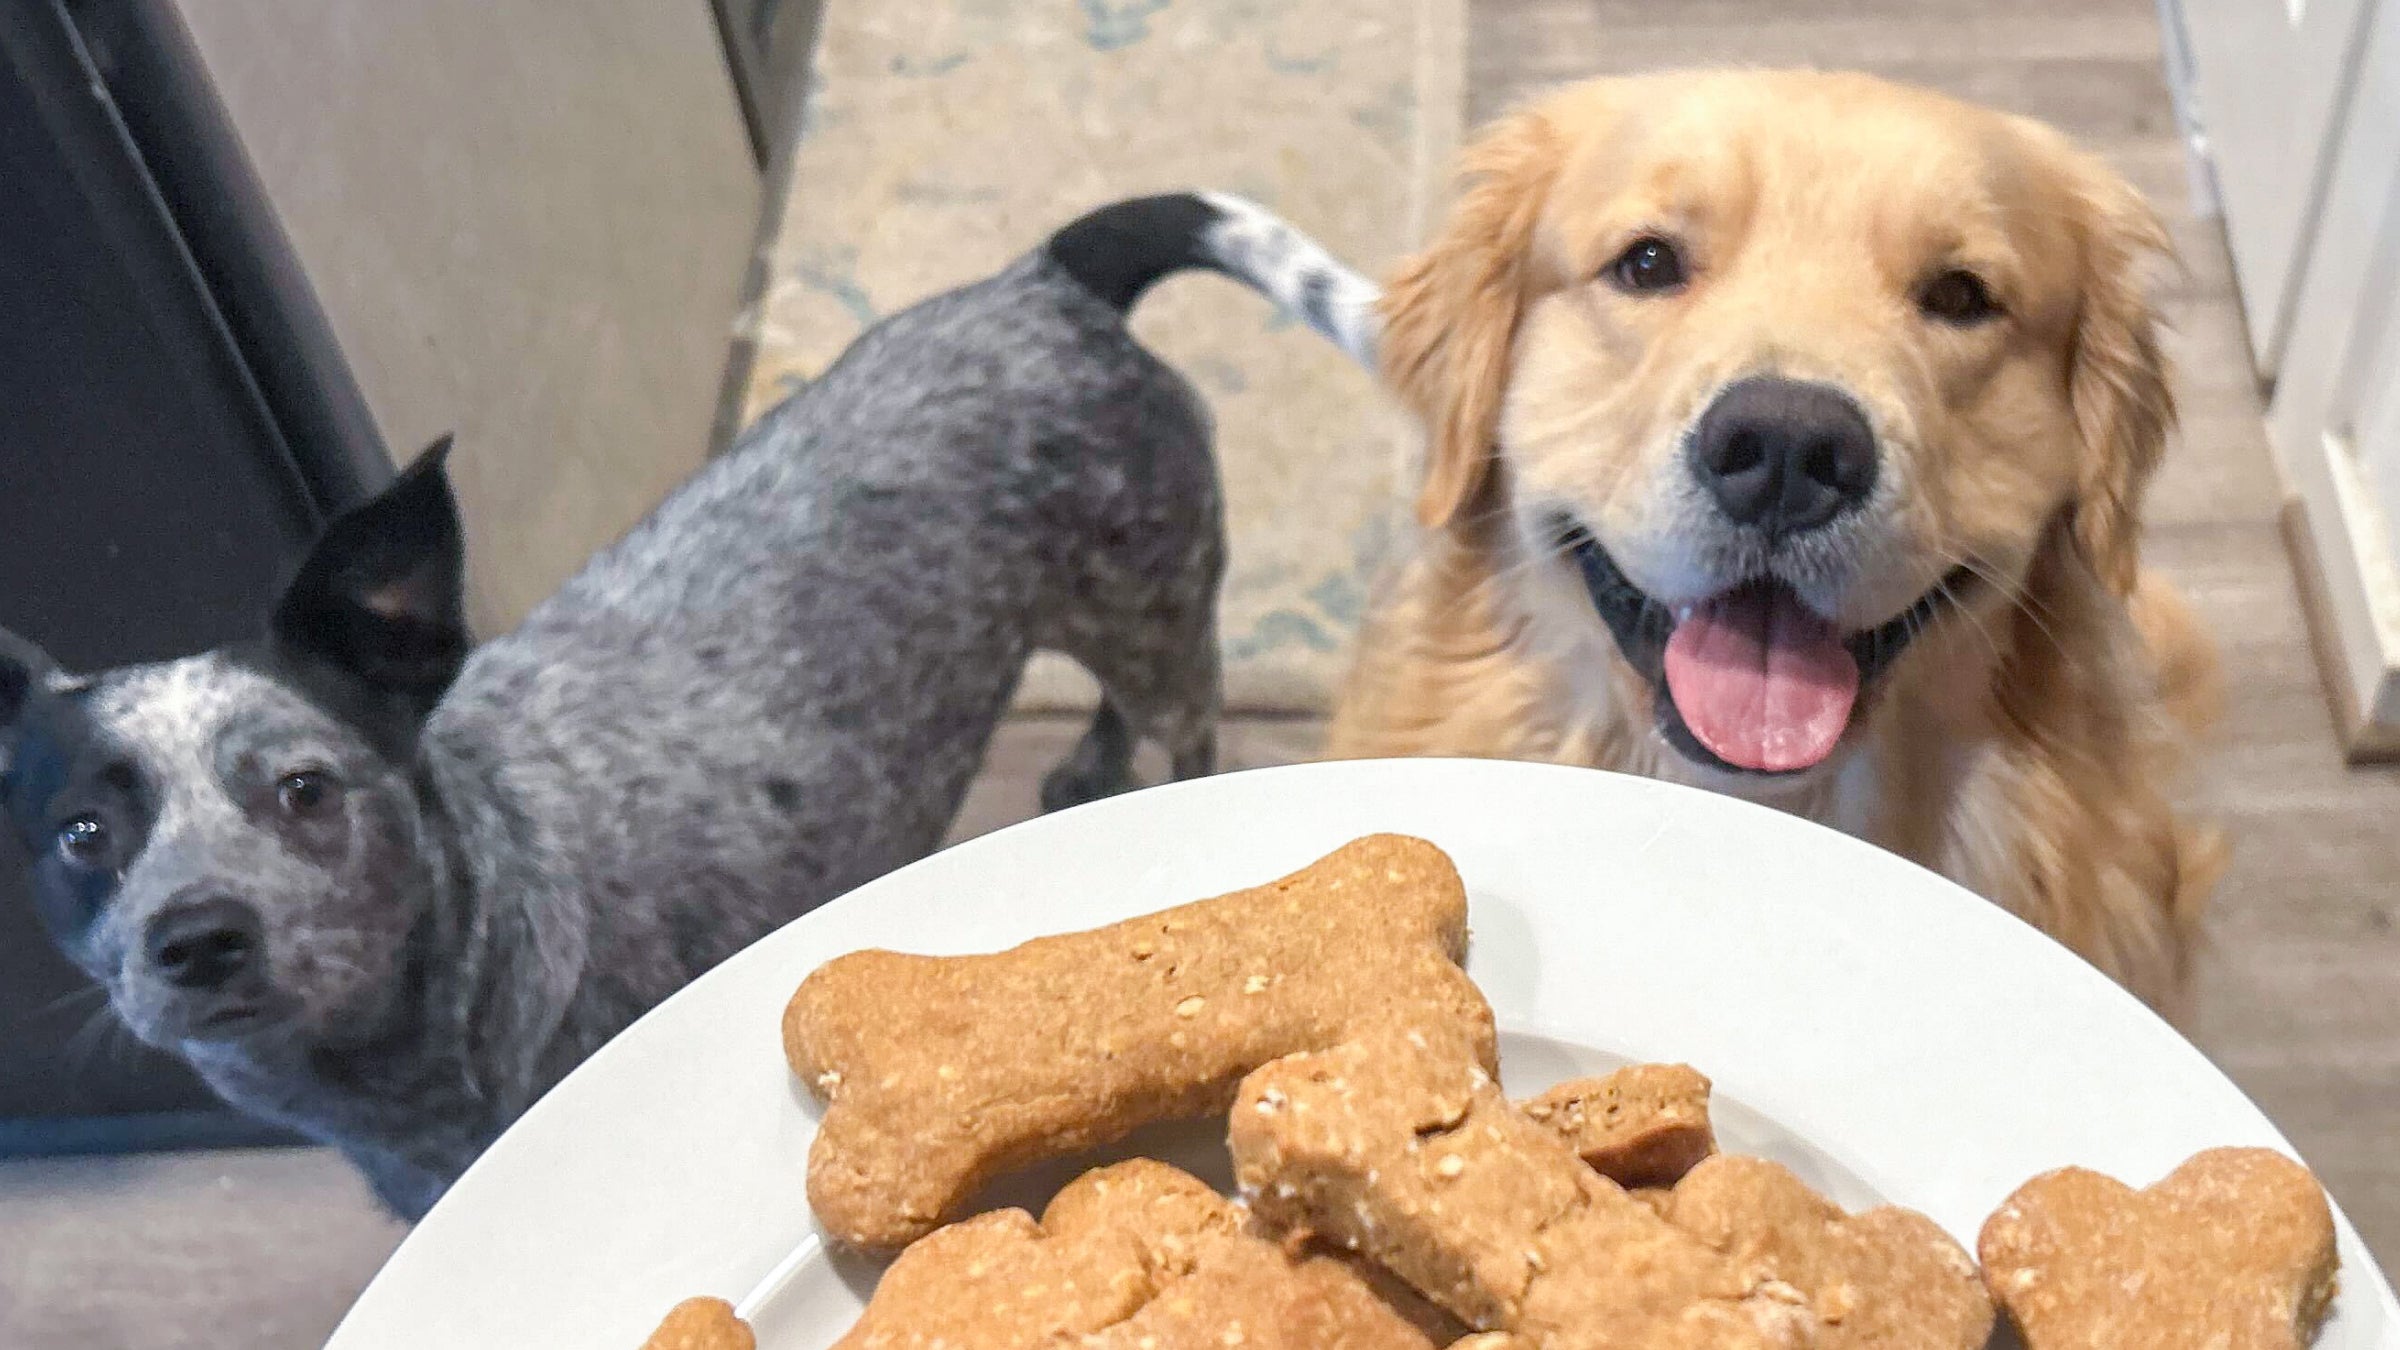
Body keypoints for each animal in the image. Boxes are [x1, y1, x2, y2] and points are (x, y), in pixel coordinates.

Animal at [0, 194, 1382, 1215]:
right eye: (82, 834)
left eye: (304, 788)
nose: (197, 938)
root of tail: (1042, 279)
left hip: (1152, 610)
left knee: (1185, 709)